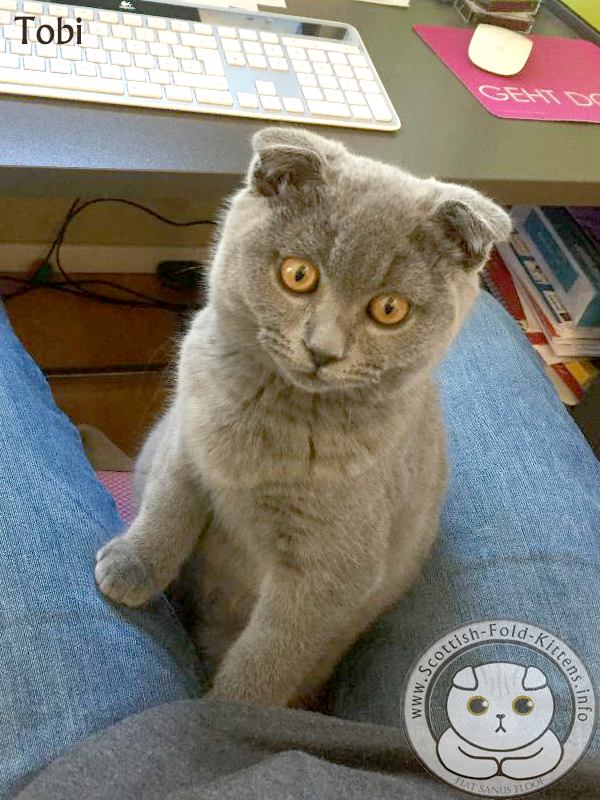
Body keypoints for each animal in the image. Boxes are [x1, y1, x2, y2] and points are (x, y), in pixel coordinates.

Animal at [95, 128, 510, 708]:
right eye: (298, 275)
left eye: (389, 309)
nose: (323, 350)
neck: (269, 411)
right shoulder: (185, 436)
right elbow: (167, 505)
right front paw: (133, 565)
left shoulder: (332, 574)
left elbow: (271, 652)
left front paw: (229, 711)